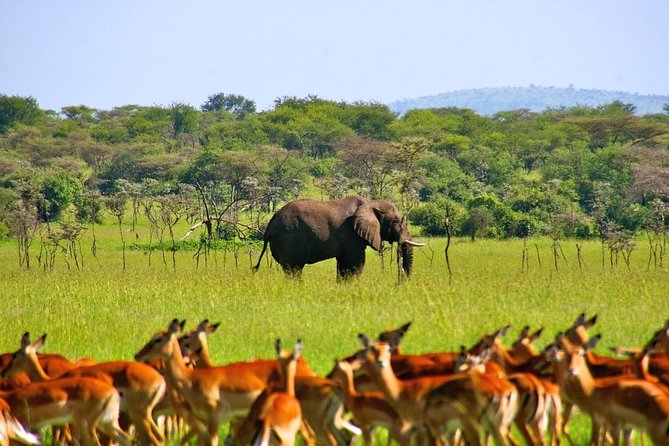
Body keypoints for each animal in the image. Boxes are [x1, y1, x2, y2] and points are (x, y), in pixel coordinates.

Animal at [253, 196, 420, 278]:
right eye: (395, 221)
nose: (401, 281)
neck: (370, 203)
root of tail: (269, 227)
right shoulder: (350, 234)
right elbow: (355, 264)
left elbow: (343, 265)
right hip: (288, 238)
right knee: (293, 269)